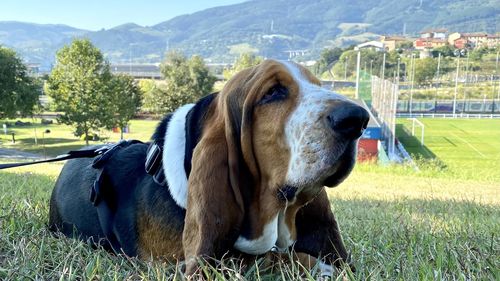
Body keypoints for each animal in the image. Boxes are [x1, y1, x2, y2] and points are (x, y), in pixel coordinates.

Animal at [48, 59, 370, 276]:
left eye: (319, 85)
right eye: (272, 92)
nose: (357, 119)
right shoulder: (178, 264)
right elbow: (265, 258)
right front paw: (321, 266)